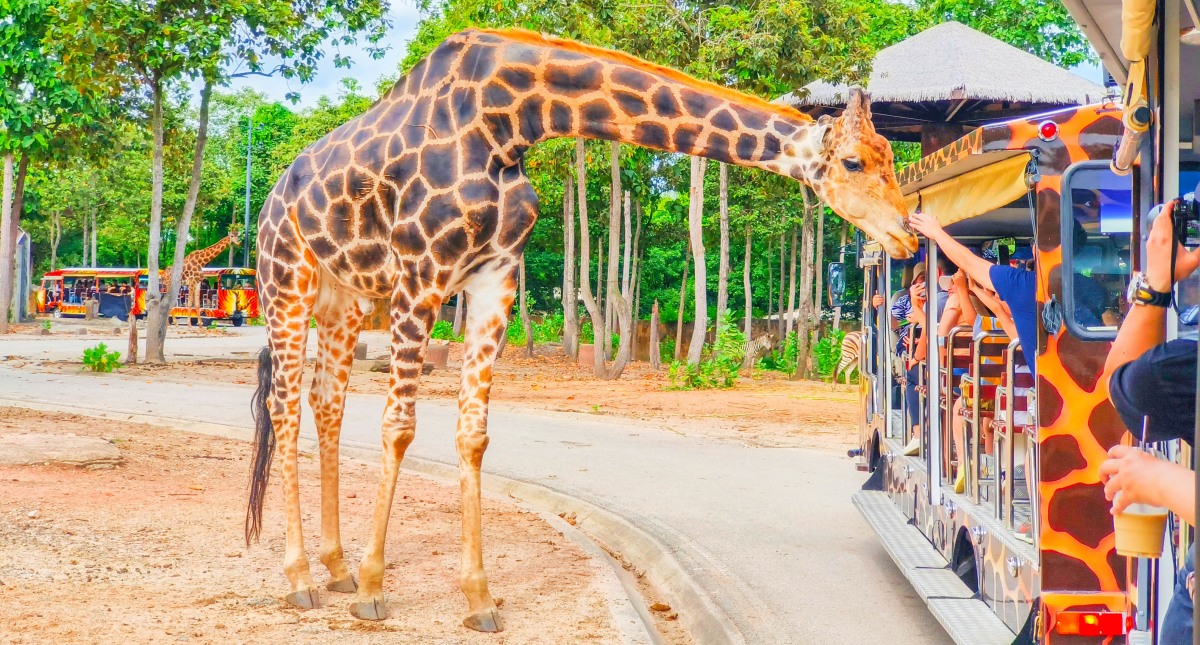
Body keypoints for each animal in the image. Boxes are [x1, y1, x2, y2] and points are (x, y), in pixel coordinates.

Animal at [243, 26, 916, 628]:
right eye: (854, 161)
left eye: (890, 158)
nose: (908, 235)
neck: (506, 123)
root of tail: (272, 197)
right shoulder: (422, 274)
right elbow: (399, 426)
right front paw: (374, 590)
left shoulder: (495, 277)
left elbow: (473, 434)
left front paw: (479, 599)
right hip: (286, 279)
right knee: (284, 407)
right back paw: (301, 579)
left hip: (346, 298)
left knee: (325, 402)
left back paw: (334, 567)